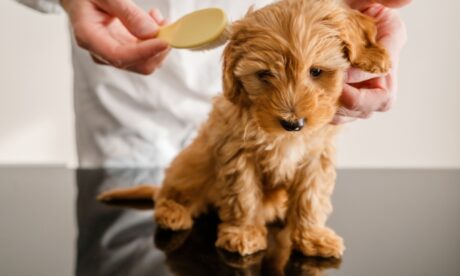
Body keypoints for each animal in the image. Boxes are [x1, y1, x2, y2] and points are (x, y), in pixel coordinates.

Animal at [99, 0, 390, 258]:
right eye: (264, 74)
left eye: (316, 71)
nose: (293, 124)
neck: (282, 137)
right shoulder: (238, 155)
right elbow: (244, 196)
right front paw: (245, 233)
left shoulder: (316, 158)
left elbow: (311, 198)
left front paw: (312, 237)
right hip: (193, 165)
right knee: (170, 191)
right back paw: (172, 212)